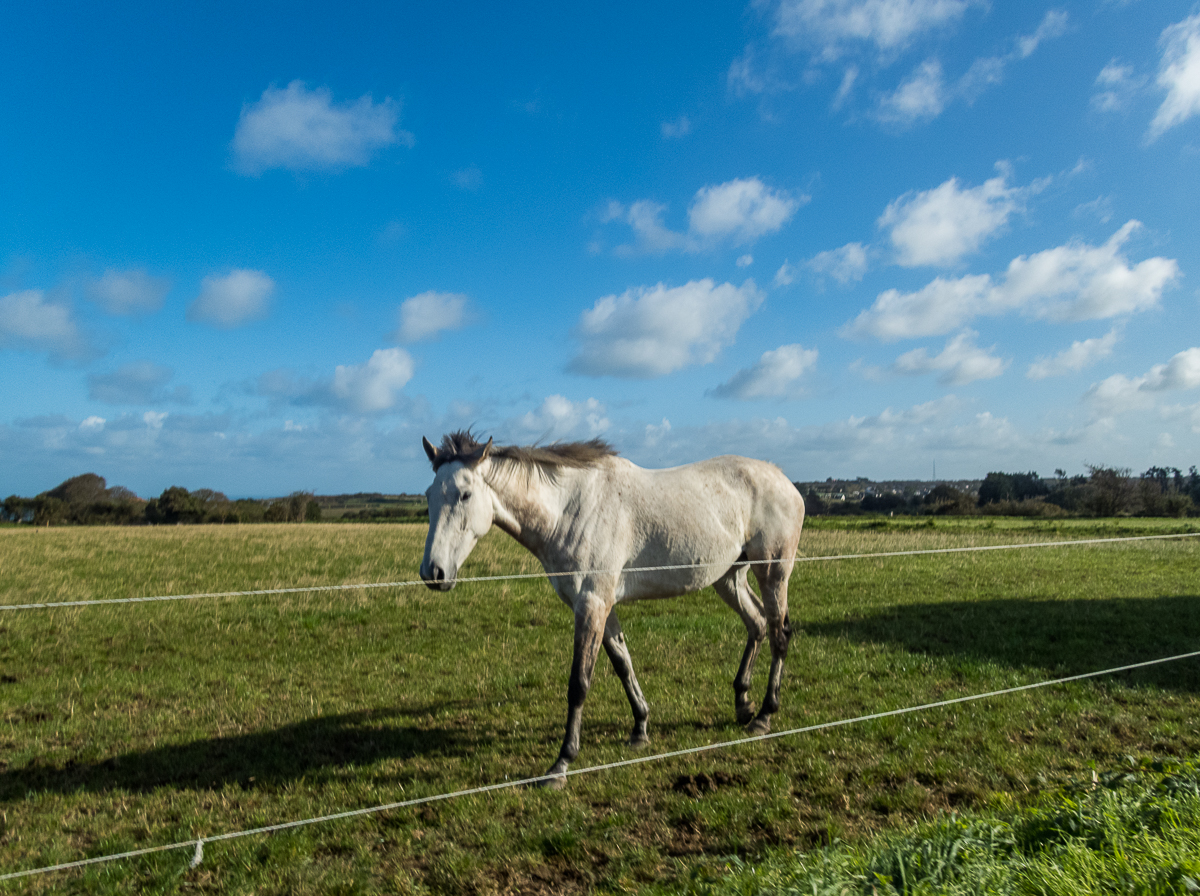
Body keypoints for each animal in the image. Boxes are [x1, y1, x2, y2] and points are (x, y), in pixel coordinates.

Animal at [422, 431, 806, 786]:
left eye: (465, 494)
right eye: (428, 495)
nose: (433, 573)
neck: (569, 511)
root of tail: (784, 481)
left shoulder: (592, 604)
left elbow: (579, 682)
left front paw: (561, 764)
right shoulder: (600, 607)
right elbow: (623, 664)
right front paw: (640, 728)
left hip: (773, 573)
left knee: (779, 634)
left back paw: (765, 715)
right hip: (729, 578)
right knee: (757, 624)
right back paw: (743, 704)